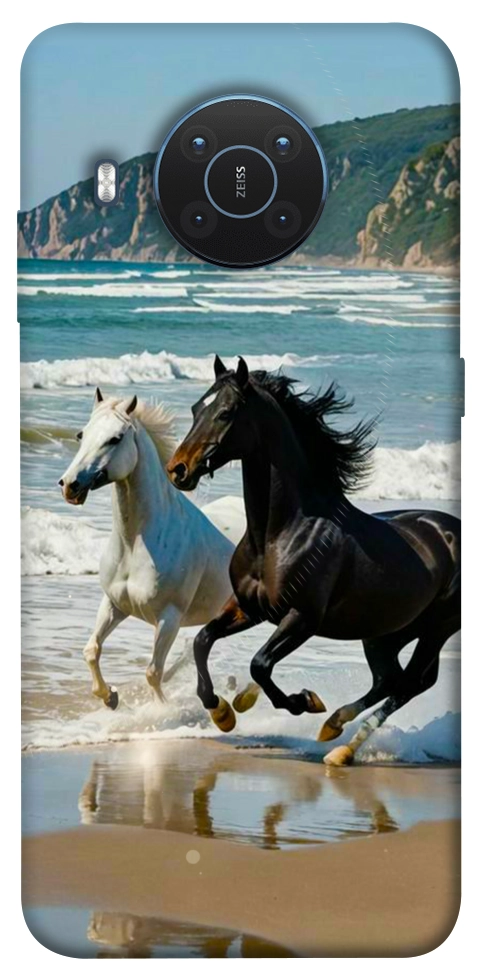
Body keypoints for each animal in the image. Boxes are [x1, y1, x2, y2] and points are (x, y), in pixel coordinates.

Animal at [59, 388, 234, 709]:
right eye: (81, 434)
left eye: (115, 438)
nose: (69, 485)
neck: (135, 544)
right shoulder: (114, 604)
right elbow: (91, 650)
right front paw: (110, 697)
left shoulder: (169, 618)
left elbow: (153, 672)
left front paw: (161, 711)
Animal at [166, 356, 460, 765]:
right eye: (197, 409)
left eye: (225, 413)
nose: (177, 469)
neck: (280, 534)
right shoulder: (248, 608)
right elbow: (202, 640)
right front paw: (223, 711)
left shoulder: (302, 618)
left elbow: (260, 664)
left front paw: (303, 701)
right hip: (386, 632)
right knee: (390, 679)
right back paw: (334, 729)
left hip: (436, 628)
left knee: (410, 683)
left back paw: (341, 746)